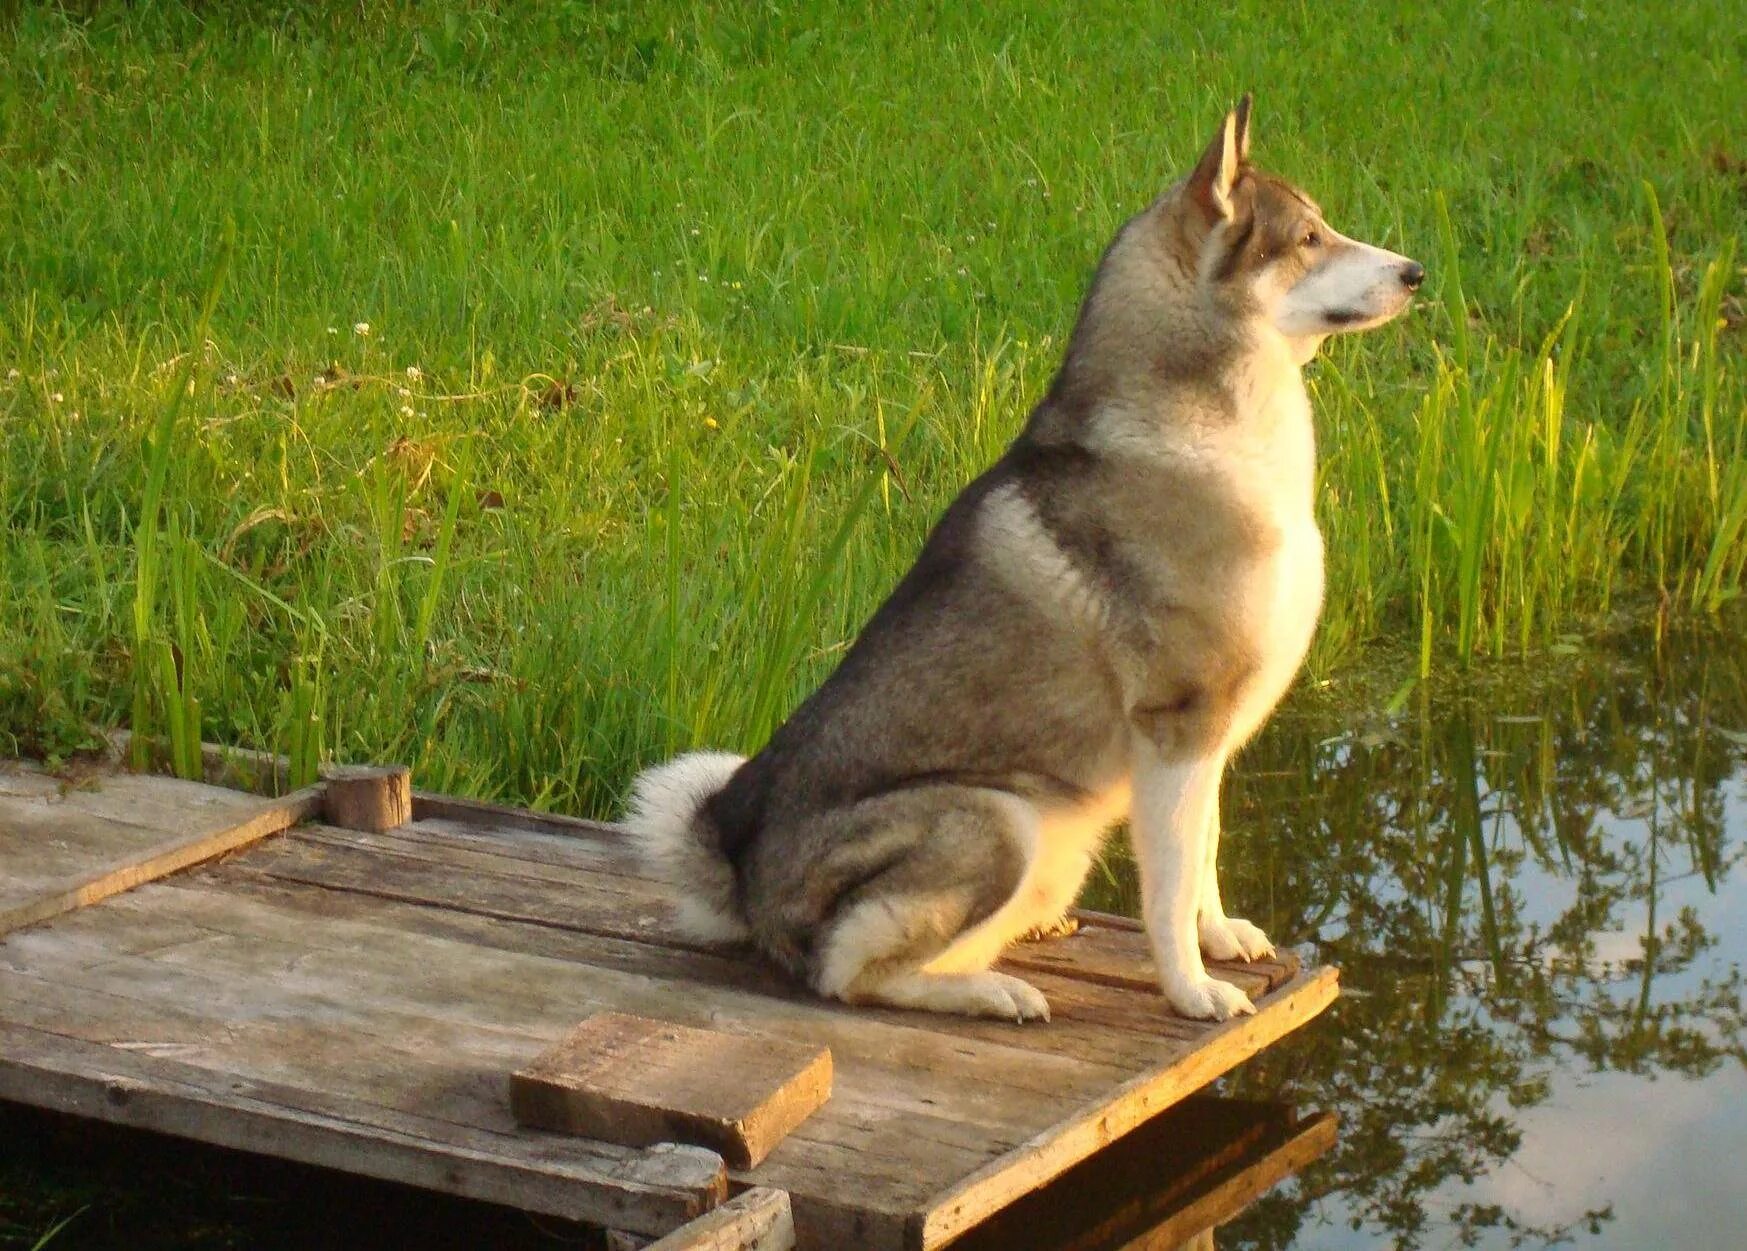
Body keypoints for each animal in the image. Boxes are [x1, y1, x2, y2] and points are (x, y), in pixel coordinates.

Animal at [628, 95, 1418, 1013]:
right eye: (1308, 238)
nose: (1415, 273)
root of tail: (743, 868)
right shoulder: (1176, 726)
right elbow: (1169, 887)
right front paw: (1190, 988)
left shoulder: (1207, 739)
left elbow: (1207, 856)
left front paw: (1220, 938)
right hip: (997, 818)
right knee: (848, 971)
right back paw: (992, 992)